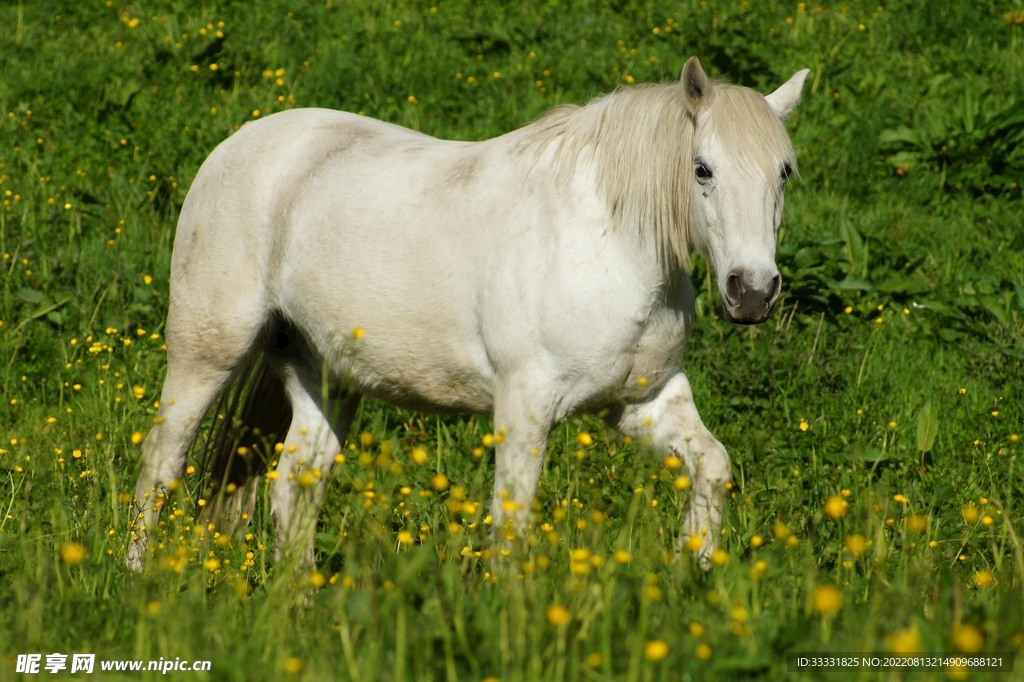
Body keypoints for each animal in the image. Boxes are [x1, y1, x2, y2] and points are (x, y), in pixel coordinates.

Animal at [126, 57, 808, 572]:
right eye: (702, 169)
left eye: (785, 172)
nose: (752, 292)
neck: (607, 244)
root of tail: (238, 146)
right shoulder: (525, 405)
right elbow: (513, 522)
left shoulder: (642, 401)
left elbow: (712, 468)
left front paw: (695, 569)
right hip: (207, 351)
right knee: (162, 461)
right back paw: (138, 577)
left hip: (323, 375)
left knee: (296, 481)